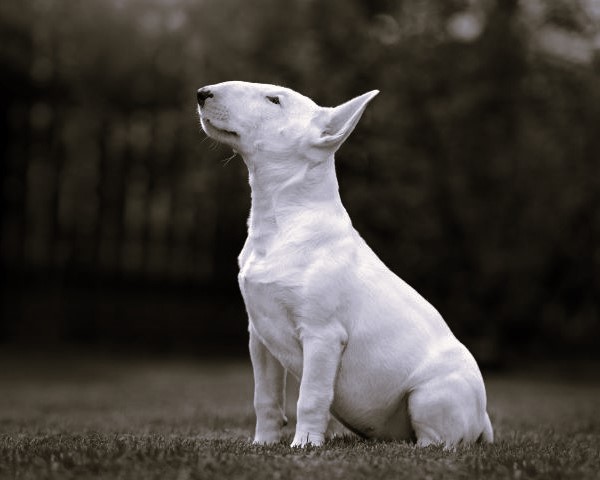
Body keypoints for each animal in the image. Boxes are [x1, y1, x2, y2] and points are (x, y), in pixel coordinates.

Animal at [197, 81, 492, 446]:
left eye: (274, 100)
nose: (202, 93)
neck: (281, 221)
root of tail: (484, 418)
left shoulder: (323, 335)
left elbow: (310, 396)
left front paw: (304, 444)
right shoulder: (259, 335)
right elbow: (265, 398)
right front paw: (263, 443)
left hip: (431, 395)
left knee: (440, 440)